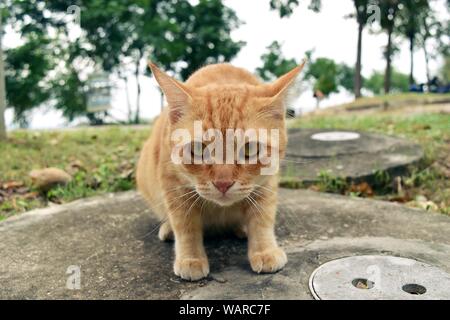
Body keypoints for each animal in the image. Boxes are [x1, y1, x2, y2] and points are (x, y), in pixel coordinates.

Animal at [137, 60, 306, 280]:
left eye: (250, 149)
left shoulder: (267, 183)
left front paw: (264, 250)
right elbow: (185, 225)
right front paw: (191, 258)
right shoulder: (173, 184)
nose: (223, 183)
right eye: (198, 149)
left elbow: (262, 218)